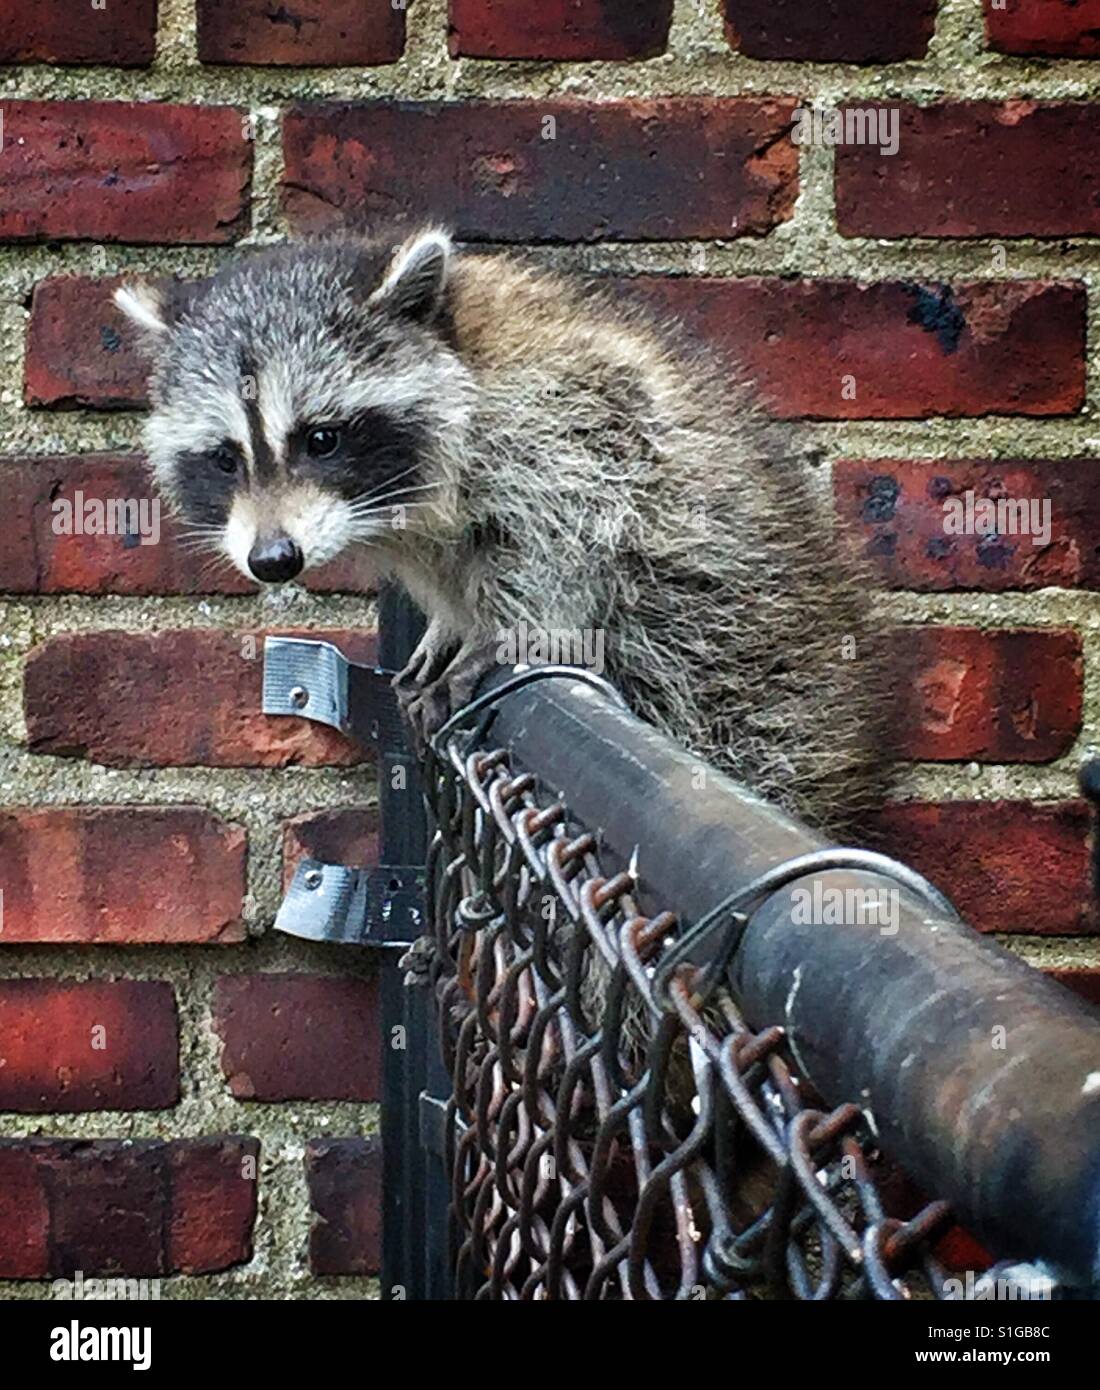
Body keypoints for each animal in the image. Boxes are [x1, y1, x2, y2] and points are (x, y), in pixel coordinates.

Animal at [116, 227, 885, 834]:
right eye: (225, 457)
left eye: (322, 439)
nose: (273, 559)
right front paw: (451, 619)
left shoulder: (565, 409)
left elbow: (582, 520)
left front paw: (507, 627)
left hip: (750, 670)